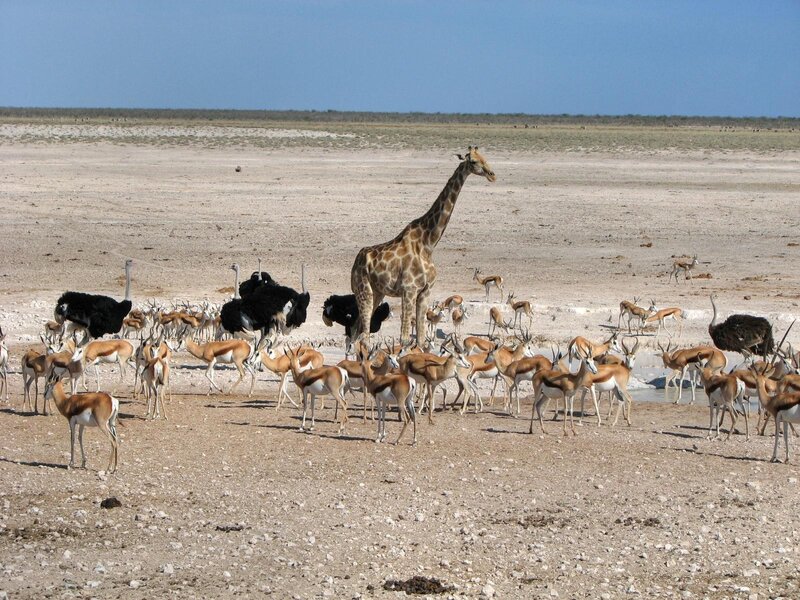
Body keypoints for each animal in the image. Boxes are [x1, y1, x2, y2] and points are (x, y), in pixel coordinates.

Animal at [351, 147, 496, 344]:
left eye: (484, 157)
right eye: (473, 161)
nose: (492, 175)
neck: (429, 243)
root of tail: (355, 261)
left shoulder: (425, 292)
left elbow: (420, 337)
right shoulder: (409, 290)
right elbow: (405, 338)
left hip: (377, 292)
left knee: (355, 330)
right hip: (364, 290)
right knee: (363, 334)